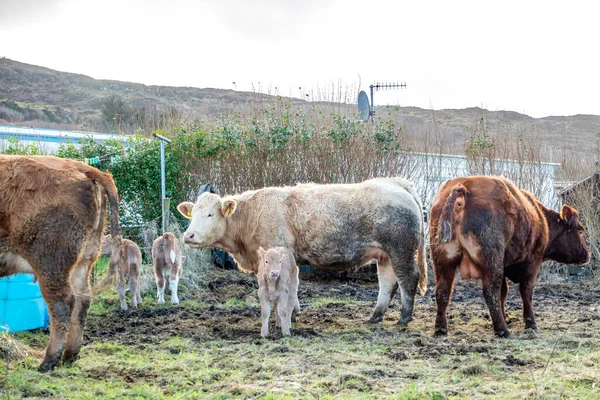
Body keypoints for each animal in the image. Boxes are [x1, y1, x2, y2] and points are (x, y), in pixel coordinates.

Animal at [0, 155, 122, 370]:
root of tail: (80, 167)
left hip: (51, 265)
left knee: (62, 303)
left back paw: (49, 361)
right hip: (84, 261)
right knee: (83, 299)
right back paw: (70, 355)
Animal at [428, 177, 588, 336]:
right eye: (580, 231)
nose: (587, 255)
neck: (541, 218)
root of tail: (463, 187)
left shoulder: (504, 265)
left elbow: (503, 292)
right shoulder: (532, 263)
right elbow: (525, 291)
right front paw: (531, 323)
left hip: (443, 261)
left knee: (443, 290)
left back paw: (441, 328)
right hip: (492, 261)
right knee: (490, 291)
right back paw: (502, 330)